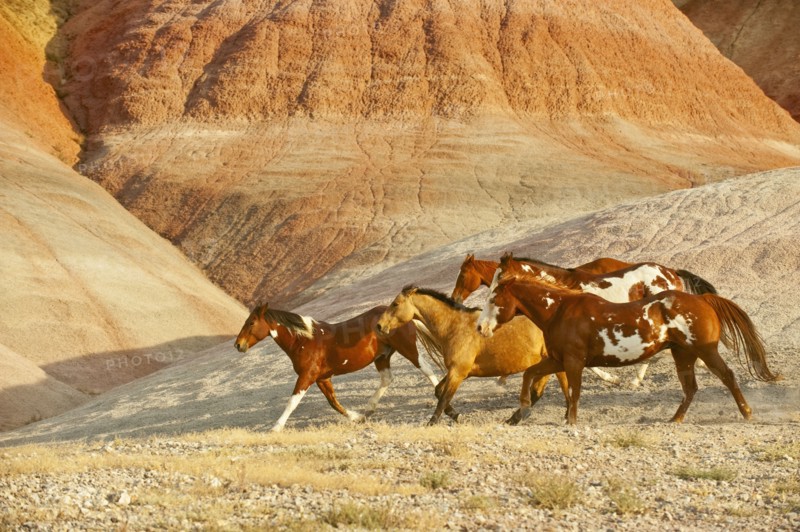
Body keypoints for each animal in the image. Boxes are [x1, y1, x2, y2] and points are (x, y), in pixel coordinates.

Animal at [234, 303, 442, 431]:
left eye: (251, 322)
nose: (238, 345)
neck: (304, 340)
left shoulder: (307, 376)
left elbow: (292, 402)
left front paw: (276, 427)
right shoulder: (322, 378)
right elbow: (333, 402)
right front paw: (356, 417)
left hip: (407, 348)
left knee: (426, 368)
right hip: (382, 357)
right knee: (387, 379)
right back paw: (369, 408)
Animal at [375, 286, 570, 426]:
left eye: (395, 304)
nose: (379, 326)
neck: (454, 326)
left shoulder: (458, 372)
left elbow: (443, 398)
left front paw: (432, 423)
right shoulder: (459, 372)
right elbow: (438, 391)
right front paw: (455, 415)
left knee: (562, 385)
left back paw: (565, 417)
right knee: (538, 391)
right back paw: (514, 419)